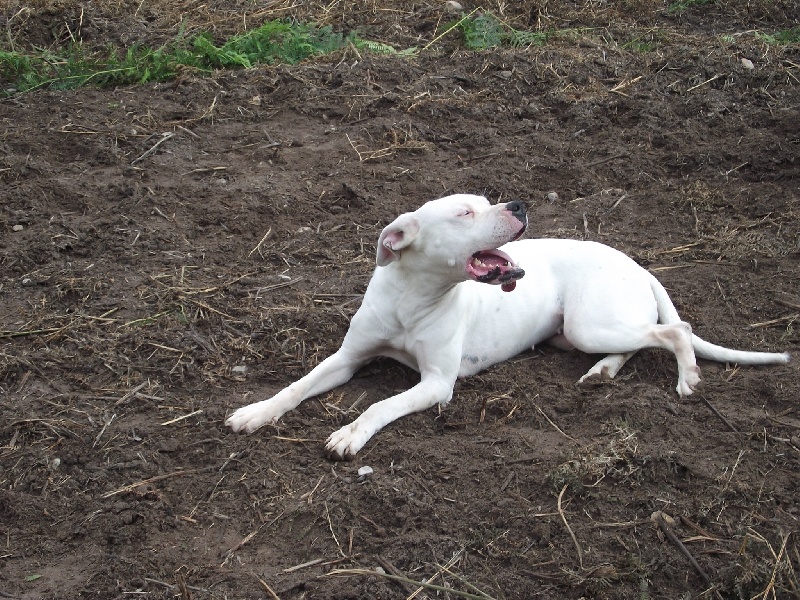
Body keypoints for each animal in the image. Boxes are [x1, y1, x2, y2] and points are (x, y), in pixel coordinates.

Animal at [226, 194, 790, 460]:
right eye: (466, 212)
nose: (517, 204)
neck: (414, 297)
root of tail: (637, 263)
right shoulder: (346, 360)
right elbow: (297, 386)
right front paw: (256, 412)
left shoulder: (437, 383)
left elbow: (380, 405)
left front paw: (349, 434)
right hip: (581, 332)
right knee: (641, 342)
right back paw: (603, 373)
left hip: (590, 324)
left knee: (675, 332)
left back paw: (687, 378)